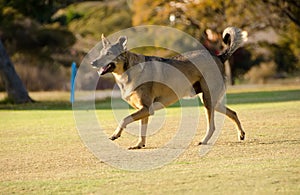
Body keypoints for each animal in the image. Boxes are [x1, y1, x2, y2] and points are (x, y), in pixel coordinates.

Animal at [90, 26, 245, 149]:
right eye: (101, 53)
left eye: (109, 54)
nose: (93, 62)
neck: (128, 71)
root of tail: (219, 57)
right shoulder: (144, 110)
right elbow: (142, 131)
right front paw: (139, 145)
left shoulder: (146, 109)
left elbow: (124, 119)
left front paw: (116, 134)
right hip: (211, 101)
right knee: (233, 113)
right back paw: (241, 134)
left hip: (208, 101)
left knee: (212, 126)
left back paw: (204, 141)